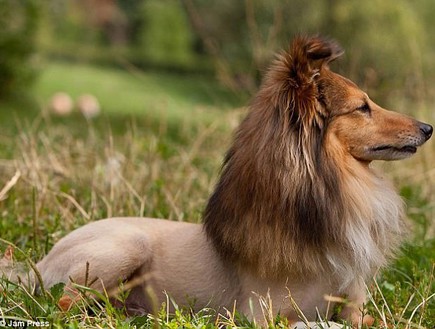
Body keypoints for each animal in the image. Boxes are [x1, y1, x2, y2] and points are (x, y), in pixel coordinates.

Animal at [2, 36, 432, 326]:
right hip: (124, 247)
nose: (427, 128)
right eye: (362, 107)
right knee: (64, 305)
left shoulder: (355, 306)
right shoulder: (262, 315)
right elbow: (314, 323)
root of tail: (41, 262)